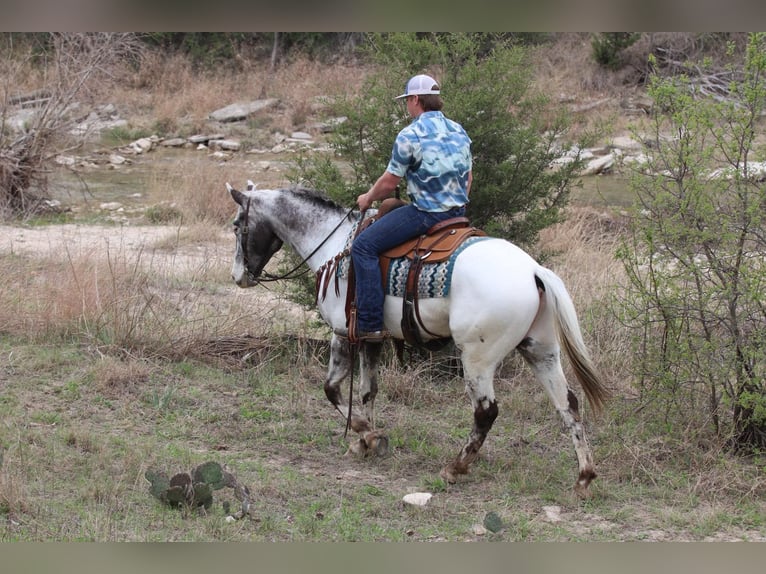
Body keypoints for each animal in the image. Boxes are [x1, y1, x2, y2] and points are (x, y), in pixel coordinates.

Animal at [226, 181, 611, 498]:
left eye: (237, 224)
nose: (238, 276)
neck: (334, 243)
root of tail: (533, 270)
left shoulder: (343, 333)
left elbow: (332, 389)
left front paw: (367, 434)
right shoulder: (372, 338)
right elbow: (368, 390)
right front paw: (366, 443)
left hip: (478, 358)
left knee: (486, 411)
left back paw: (455, 468)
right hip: (541, 351)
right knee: (568, 404)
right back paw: (584, 476)